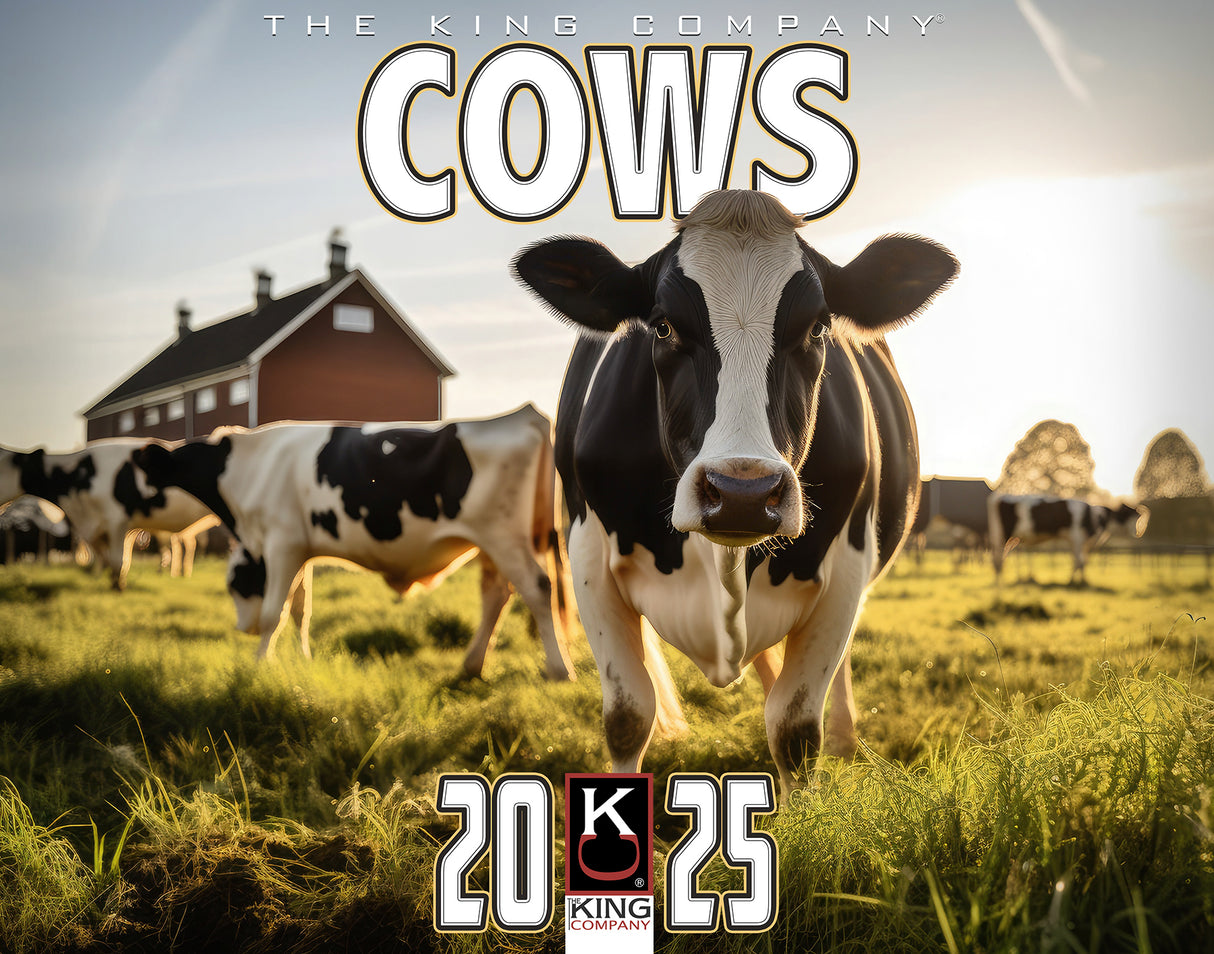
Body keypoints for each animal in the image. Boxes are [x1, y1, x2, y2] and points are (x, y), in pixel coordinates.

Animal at [0, 439, 216, 589]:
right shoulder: (97, 528)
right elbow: (109, 559)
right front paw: (112, 582)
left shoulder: (116, 521)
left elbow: (116, 559)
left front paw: (118, 588)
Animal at [134, 404, 576, 681]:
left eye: (234, 585)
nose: (241, 628)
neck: (249, 465)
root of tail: (523, 416)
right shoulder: (301, 548)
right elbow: (301, 609)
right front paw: (303, 660)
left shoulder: (281, 542)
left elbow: (276, 612)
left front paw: (260, 664)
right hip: (491, 543)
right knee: (495, 594)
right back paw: (471, 665)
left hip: (505, 536)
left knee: (538, 589)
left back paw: (559, 670)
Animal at [513, 189, 957, 796]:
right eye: (663, 328)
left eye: (818, 328)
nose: (743, 492)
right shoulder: (586, 554)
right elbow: (628, 718)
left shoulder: (848, 562)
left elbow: (795, 730)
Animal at [987, 493, 1148, 584]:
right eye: (1129, 516)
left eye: (1137, 517)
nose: (1137, 533)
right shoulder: (1077, 538)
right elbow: (1079, 561)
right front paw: (1077, 582)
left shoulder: (1078, 541)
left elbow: (1079, 561)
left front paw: (1078, 580)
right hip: (1002, 536)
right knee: (997, 560)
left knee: (998, 560)